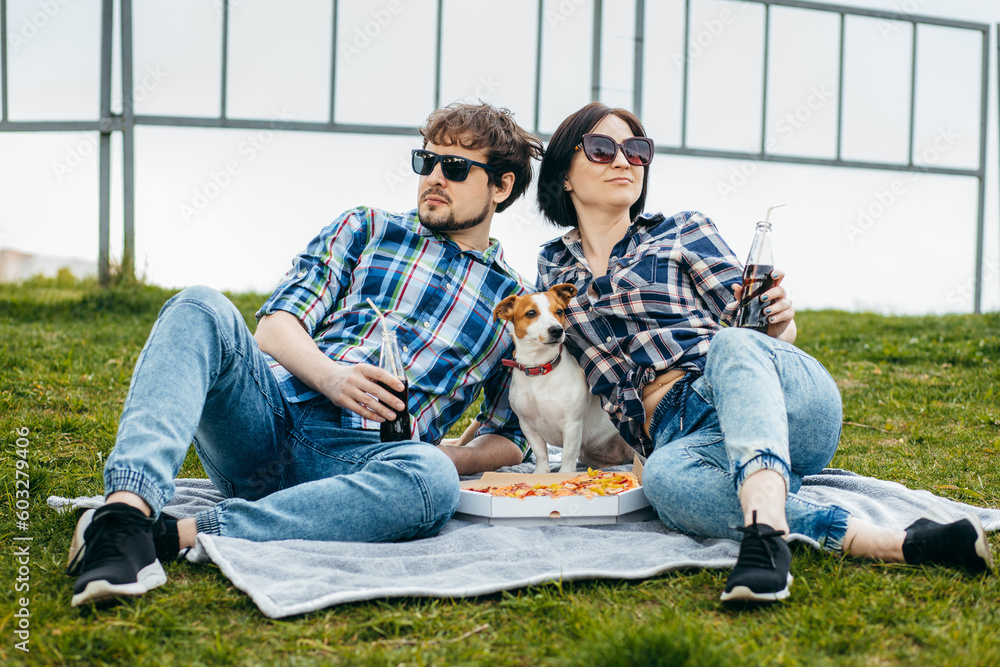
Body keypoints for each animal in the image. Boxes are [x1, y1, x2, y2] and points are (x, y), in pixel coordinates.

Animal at [496, 284, 636, 474]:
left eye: (559, 311)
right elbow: (541, 453)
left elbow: (568, 454)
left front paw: (564, 474)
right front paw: (540, 473)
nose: (557, 330)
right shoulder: (527, 426)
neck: (540, 368)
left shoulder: (572, 424)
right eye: (531, 313)